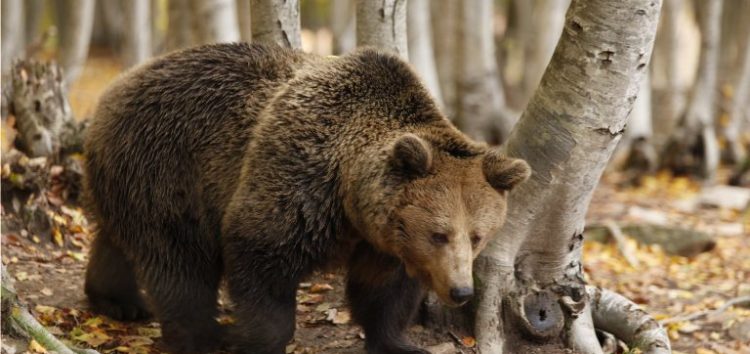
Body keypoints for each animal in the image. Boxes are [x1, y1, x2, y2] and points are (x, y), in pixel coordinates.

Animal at [83, 43, 536, 354]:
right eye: (440, 233)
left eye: (477, 235)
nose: (461, 291)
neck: (349, 195)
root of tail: (113, 90)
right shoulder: (299, 178)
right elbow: (261, 253)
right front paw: (254, 338)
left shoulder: (382, 239)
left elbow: (385, 290)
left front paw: (400, 342)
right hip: (167, 167)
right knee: (178, 260)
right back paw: (202, 334)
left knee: (119, 238)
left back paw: (117, 300)